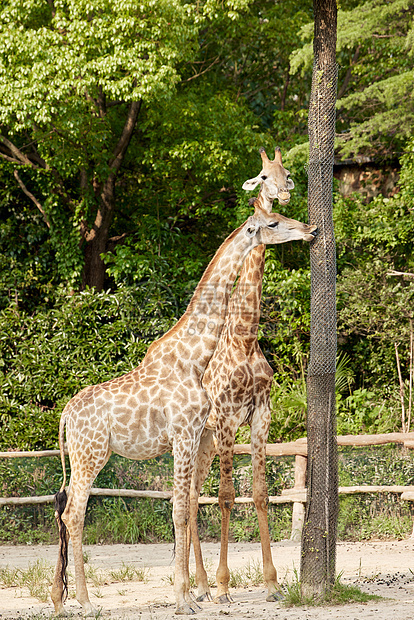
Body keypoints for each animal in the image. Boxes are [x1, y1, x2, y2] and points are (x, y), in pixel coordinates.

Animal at [50, 193, 316, 616]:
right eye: (273, 222)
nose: (310, 230)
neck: (194, 358)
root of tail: (64, 415)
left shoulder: (194, 436)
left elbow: (188, 506)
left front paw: (192, 594)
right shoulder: (185, 433)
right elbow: (180, 508)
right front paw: (183, 599)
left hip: (86, 455)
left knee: (64, 510)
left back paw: (59, 601)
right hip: (91, 454)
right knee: (75, 512)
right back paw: (86, 602)